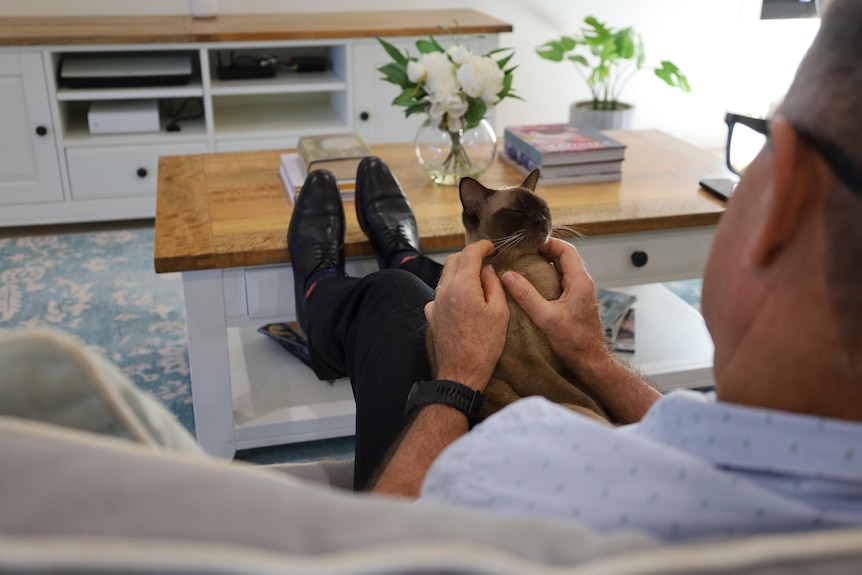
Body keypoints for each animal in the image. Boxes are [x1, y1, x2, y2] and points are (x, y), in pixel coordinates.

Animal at [428, 169, 612, 426]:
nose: (541, 219)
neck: (528, 266)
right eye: (516, 212)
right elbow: (586, 400)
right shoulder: (523, 360)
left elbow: (593, 397)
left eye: (543, 208)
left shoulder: (563, 363)